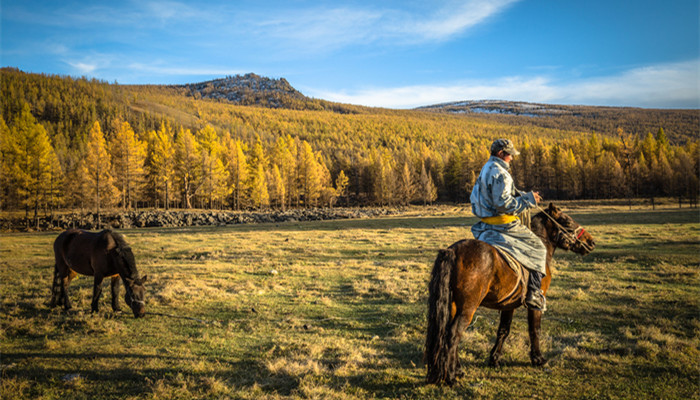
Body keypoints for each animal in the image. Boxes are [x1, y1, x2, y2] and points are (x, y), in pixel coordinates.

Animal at [424, 203, 592, 384]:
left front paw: (494, 359)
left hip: (455, 306)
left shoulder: (508, 305)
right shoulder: (536, 305)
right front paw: (538, 359)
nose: (591, 241)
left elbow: (503, 330)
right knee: (453, 334)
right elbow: (535, 330)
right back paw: (450, 377)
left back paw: (457, 370)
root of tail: (453, 251)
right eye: (567, 221)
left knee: (448, 332)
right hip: (468, 308)